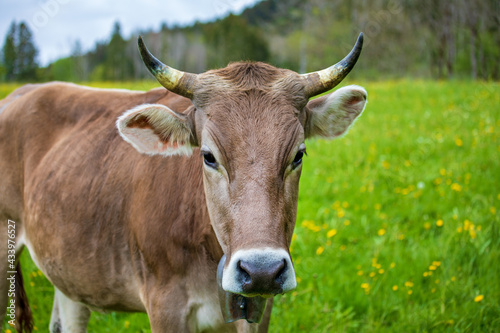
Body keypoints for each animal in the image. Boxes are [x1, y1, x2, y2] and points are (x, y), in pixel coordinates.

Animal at [0, 31, 368, 332]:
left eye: (298, 155)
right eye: (208, 156)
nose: (261, 270)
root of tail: (23, 92)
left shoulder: (260, 309)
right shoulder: (165, 305)